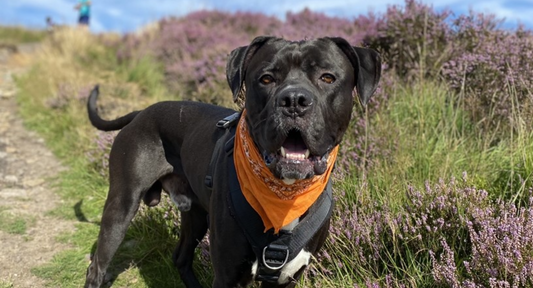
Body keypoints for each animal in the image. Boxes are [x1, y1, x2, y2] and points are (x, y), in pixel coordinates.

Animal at [84, 36, 378, 288]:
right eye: (266, 78)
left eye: (327, 77)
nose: (294, 100)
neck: (284, 196)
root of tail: (140, 113)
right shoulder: (228, 275)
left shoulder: (288, 278)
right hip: (121, 207)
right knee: (96, 266)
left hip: (196, 215)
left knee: (181, 257)